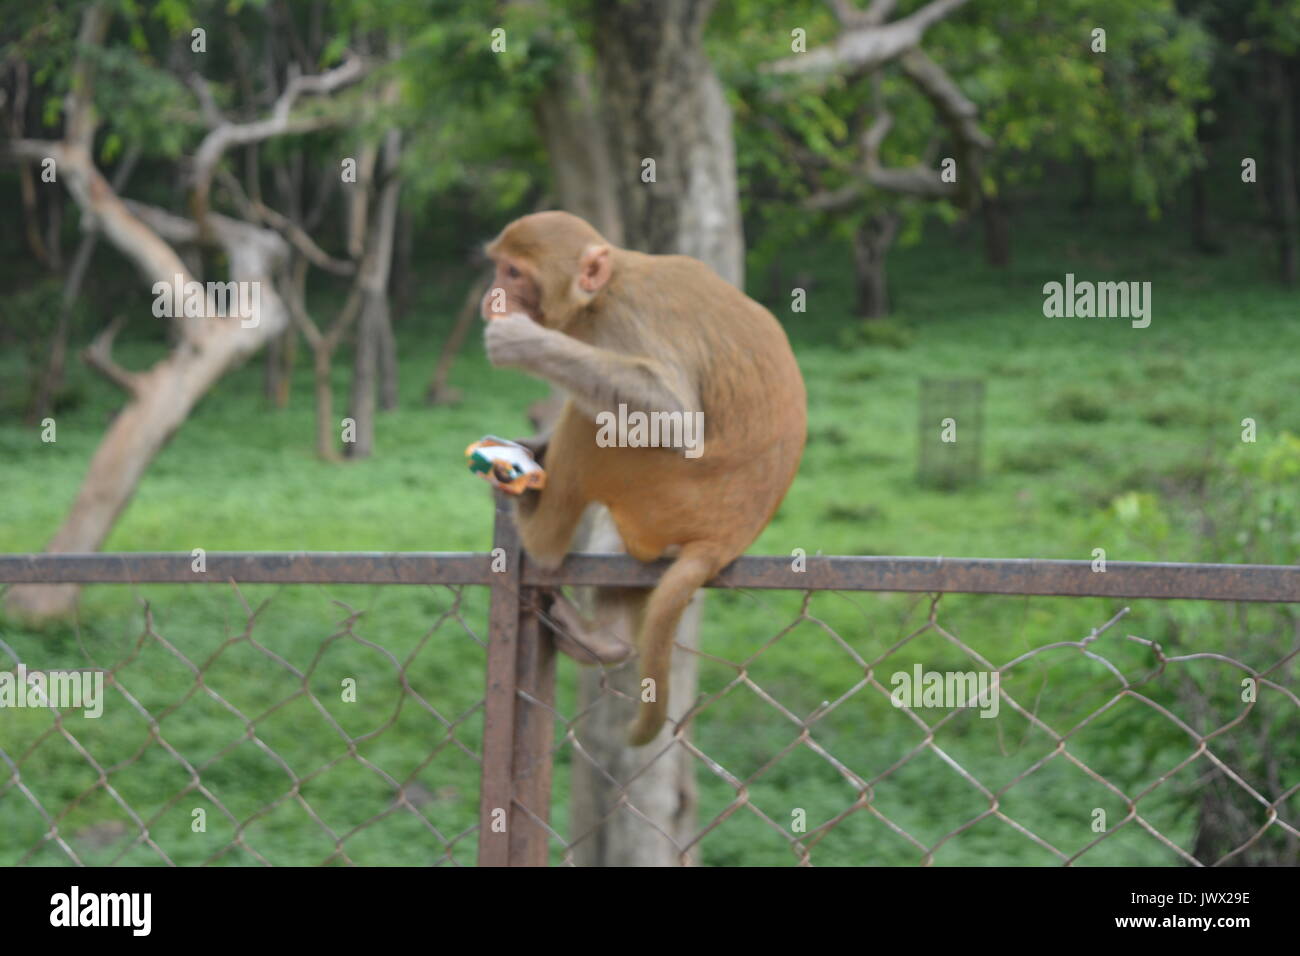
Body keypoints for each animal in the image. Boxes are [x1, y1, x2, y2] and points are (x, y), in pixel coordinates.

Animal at [478, 210, 800, 749]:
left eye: (515, 273)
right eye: (499, 267)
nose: (491, 297)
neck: (600, 296)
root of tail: (725, 539)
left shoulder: (624, 321)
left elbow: (674, 416)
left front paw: (525, 344)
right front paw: (532, 445)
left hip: (668, 489)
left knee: (593, 423)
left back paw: (538, 535)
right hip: (658, 516)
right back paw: (605, 640)